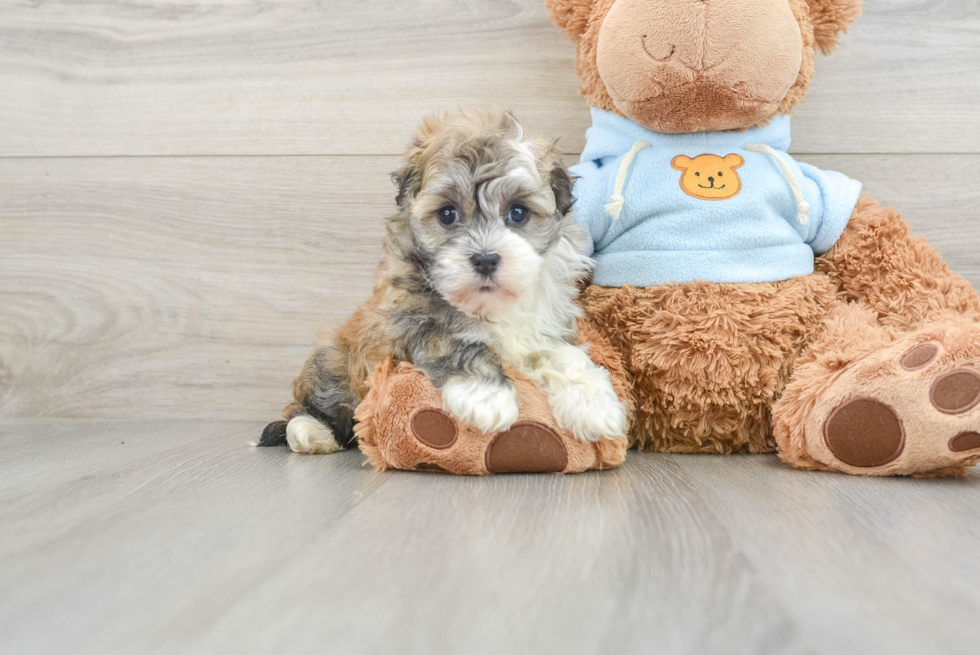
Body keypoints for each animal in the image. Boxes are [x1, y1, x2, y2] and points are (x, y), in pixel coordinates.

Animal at [258, 109, 628, 456]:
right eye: (447, 214)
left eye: (518, 212)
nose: (485, 259)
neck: (486, 306)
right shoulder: (406, 322)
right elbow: (453, 342)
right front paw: (487, 396)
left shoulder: (540, 329)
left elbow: (564, 353)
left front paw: (594, 402)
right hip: (333, 360)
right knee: (307, 406)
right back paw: (310, 432)